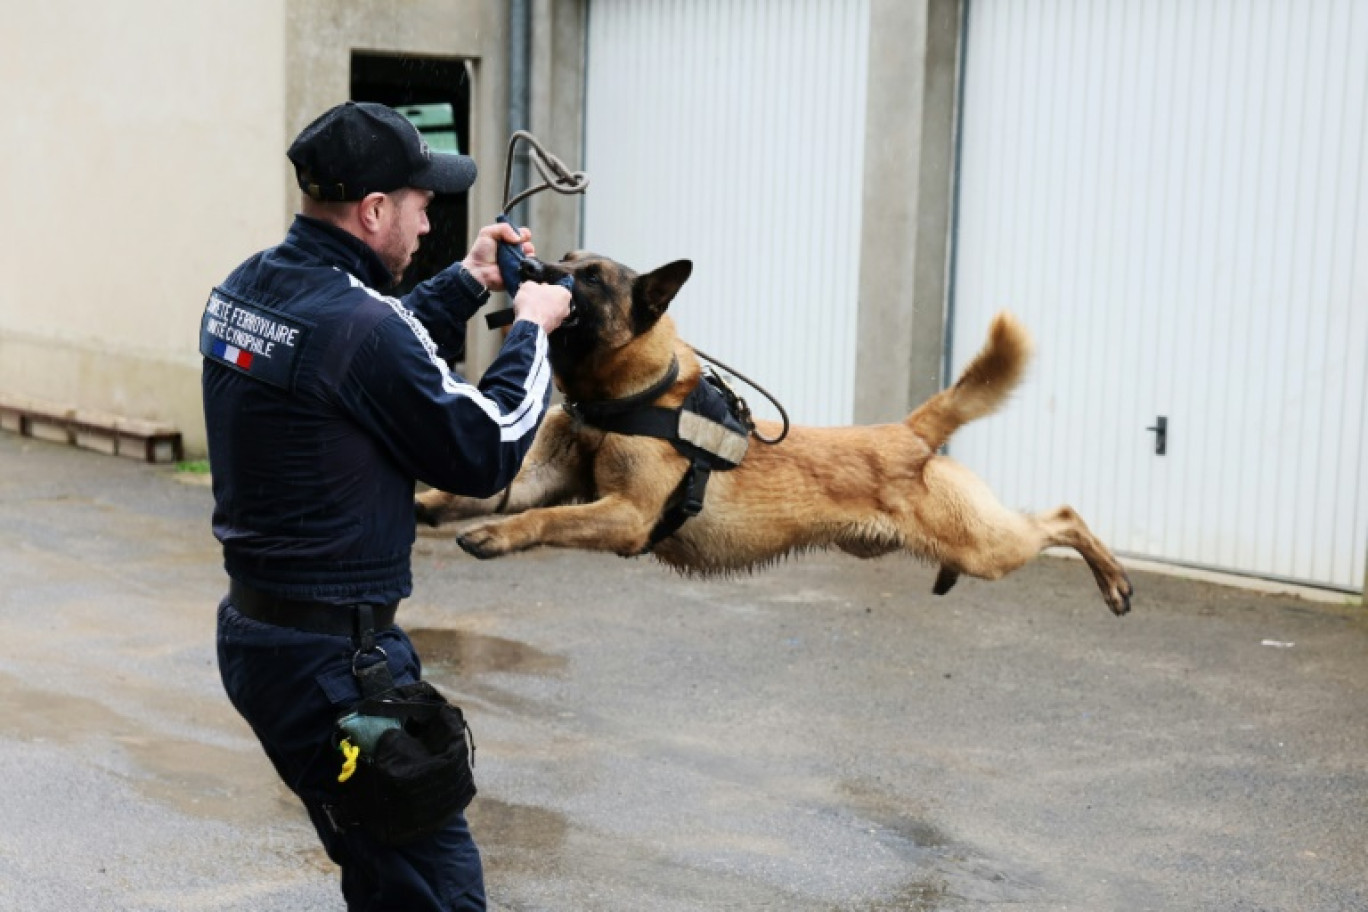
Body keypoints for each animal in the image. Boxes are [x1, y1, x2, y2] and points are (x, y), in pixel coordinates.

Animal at [415, 252, 1132, 618]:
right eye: (564, 261)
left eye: (588, 276)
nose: (530, 259)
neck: (625, 395)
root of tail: (908, 432)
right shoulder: (537, 480)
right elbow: (479, 495)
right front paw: (423, 505)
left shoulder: (628, 515)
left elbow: (545, 520)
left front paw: (494, 536)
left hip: (986, 546)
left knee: (1062, 518)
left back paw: (1115, 581)